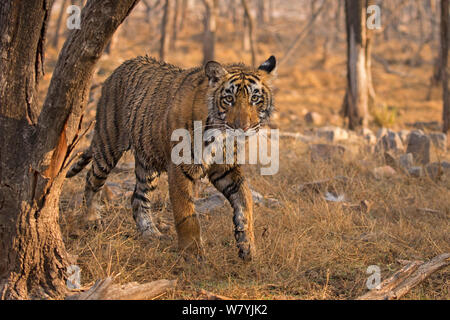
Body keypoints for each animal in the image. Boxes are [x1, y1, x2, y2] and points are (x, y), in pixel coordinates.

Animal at [66, 55, 278, 260]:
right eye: (229, 98)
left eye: (255, 98)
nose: (243, 127)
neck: (220, 134)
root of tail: (117, 69)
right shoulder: (180, 167)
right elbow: (186, 213)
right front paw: (193, 255)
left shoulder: (225, 167)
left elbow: (245, 200)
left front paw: (248, 247)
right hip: (107, 144)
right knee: (92, 180)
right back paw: (91, 220)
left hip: (147, 163)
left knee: (138, 198)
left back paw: (151, 233)